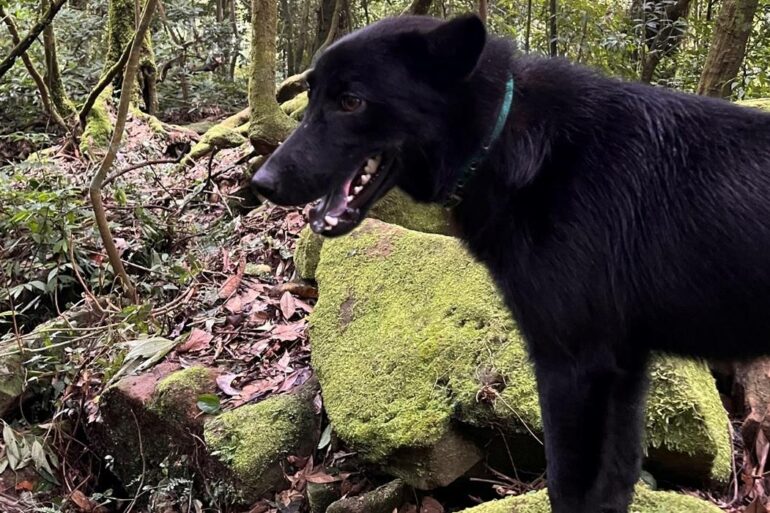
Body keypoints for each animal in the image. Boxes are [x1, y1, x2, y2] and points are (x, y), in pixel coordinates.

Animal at [255, 15, 768, 512]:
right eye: (312, 93)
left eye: (351, 101)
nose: (261, 182)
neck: (507, 139)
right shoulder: (624, 369)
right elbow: (614, 487)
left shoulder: (573, 368)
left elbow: (569, 490)